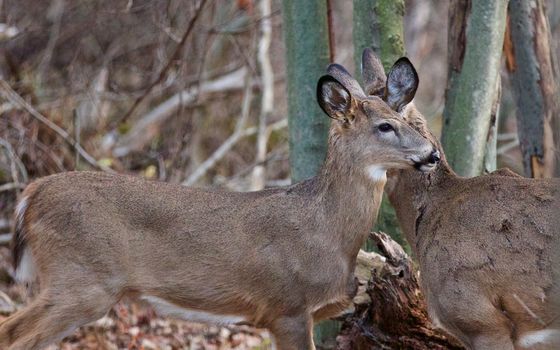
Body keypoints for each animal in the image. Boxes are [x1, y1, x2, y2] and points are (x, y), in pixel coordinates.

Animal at [0, 61, 440, 348]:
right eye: (385, 126)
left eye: (404, 118)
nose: (433, 153)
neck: (327, 233)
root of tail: (30, 195)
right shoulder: (286, 307)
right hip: (81, 279)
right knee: (14, 334)